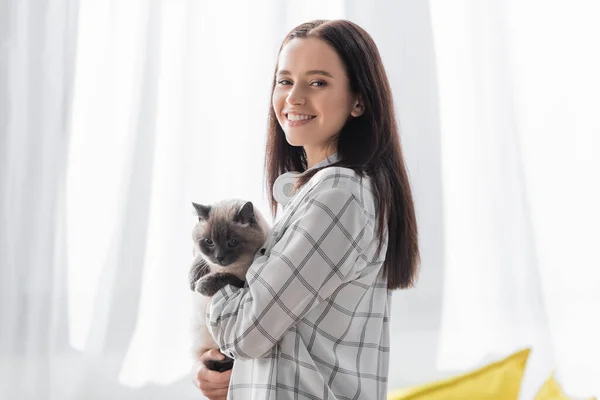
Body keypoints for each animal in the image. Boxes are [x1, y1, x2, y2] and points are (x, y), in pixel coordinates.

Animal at [189, 199, 270, 372]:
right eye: (209, 242)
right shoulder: (204, 258)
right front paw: (192, 281)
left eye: (232, 242)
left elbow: (227, 277)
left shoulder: (243, 284)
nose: (219, 257)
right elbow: (200, 259)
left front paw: (201, 285)